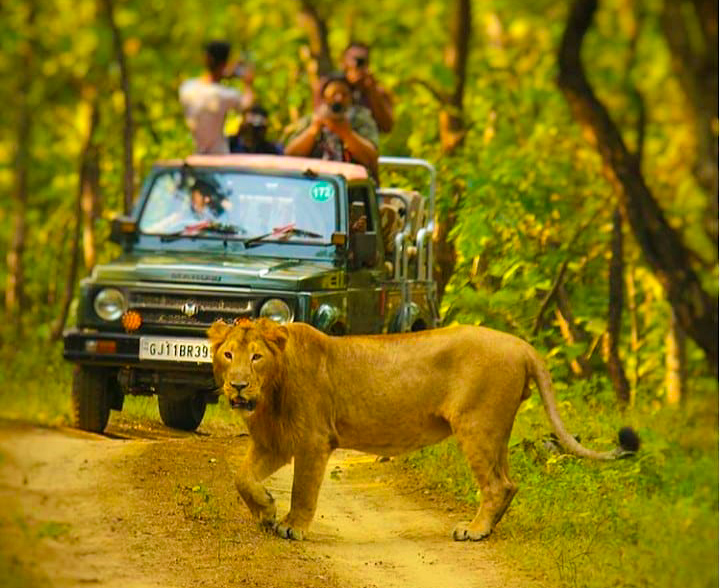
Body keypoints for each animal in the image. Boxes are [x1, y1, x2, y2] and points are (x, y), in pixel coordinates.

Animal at [205, 320, 640, 540]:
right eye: (228, 354)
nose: (238, 386)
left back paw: (474, 531)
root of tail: (521, 345)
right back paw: (489, 528)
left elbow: (302, 490)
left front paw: (291, 527)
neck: (270, 391)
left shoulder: (313, 440)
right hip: (497, 429)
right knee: (510, 483)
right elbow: (241, 479)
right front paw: (265, 510)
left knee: (497, 484)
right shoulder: (274, 440)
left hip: (477, 424)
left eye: (256, 357)